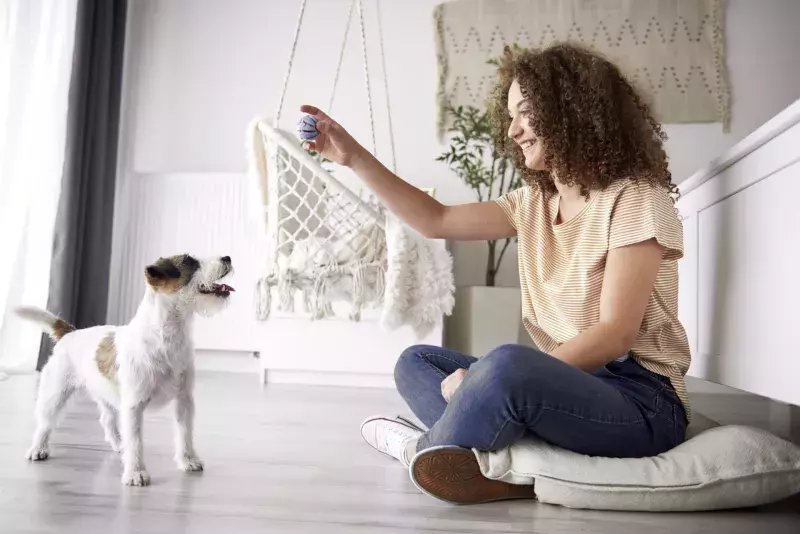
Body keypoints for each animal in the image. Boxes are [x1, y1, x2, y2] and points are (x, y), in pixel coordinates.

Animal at [17, 253, 233, 488]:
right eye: (188, 261)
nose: (227, 257)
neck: (166, 337)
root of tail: (70, 333)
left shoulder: (183, 400)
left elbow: (184, 434)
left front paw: (188, 460)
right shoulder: (134, 405)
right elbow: (136, 441)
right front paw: (136, 472)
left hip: (106, 394)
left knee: (107, 420)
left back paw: (120, 445)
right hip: (56, 392)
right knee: (45, 422)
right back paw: (38, 448)